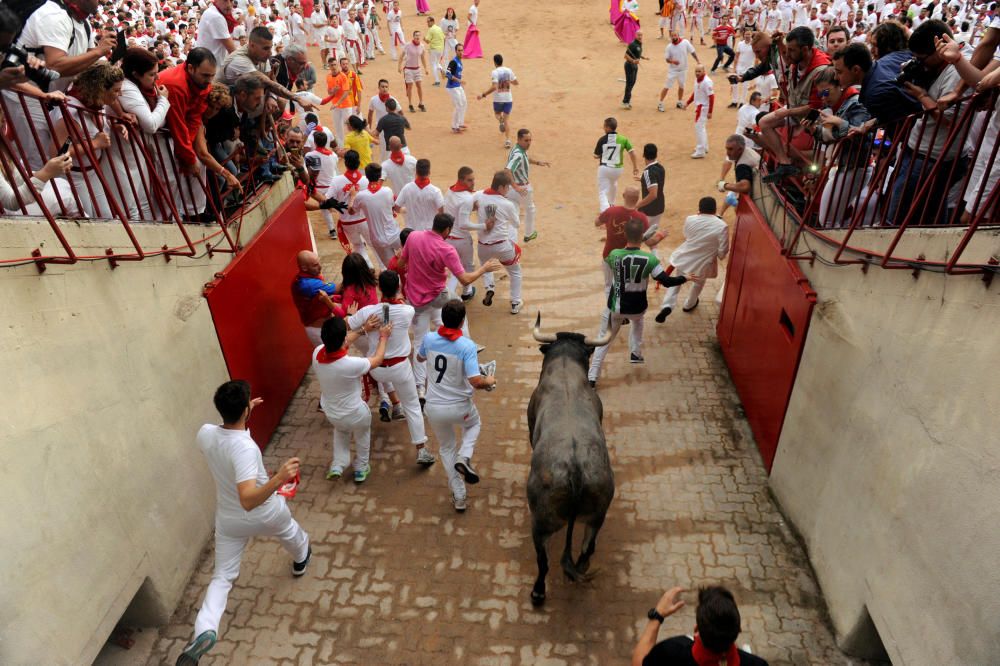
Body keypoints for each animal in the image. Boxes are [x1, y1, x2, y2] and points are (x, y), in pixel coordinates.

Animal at [528, 310, 612, 600]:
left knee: (543, 561)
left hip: (541, 522)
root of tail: (575, 471)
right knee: (587, 549)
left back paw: (538, 593)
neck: (564, 366)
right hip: (597, 516)